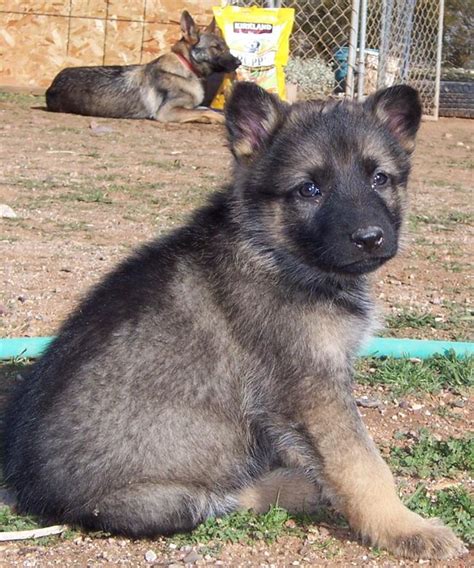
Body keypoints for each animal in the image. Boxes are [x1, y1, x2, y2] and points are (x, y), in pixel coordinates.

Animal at [3, 84, 466, 560]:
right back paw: (295, 487)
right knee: (222, 497)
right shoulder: (312, 388)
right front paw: (404, 528)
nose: (370, 238)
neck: (276, 253)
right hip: (159, 498)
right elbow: (362, 466)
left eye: (380, 179)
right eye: (309, 189)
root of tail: (30, 491)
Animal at [45, 11, 239, 124]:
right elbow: (209, 113)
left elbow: (206, 109)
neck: (186, 66)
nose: (239, 63)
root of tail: (53, 84)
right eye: (216, 47)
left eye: (226, 47)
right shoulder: (167, 112)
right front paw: (220, 119)